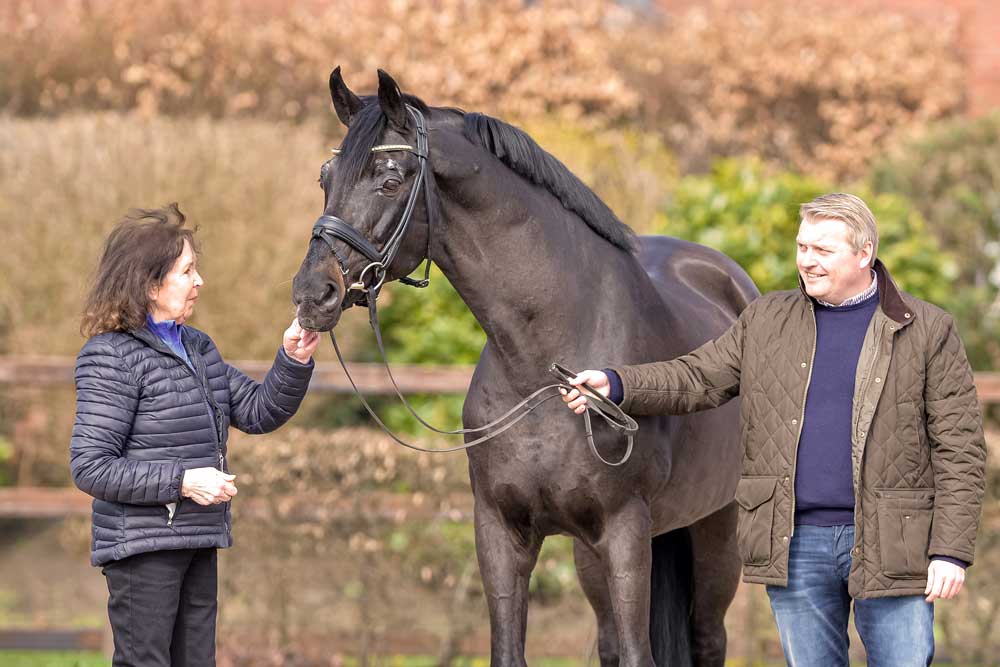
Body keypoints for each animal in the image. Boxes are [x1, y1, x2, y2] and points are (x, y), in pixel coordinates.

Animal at [290, 69, 756, 667]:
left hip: (713, 534)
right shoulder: (500, 532)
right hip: (593, 556)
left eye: (390, 180)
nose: (312, 294)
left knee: (707, 637)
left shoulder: (625, 532)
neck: (541, 368)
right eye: (325, 178)